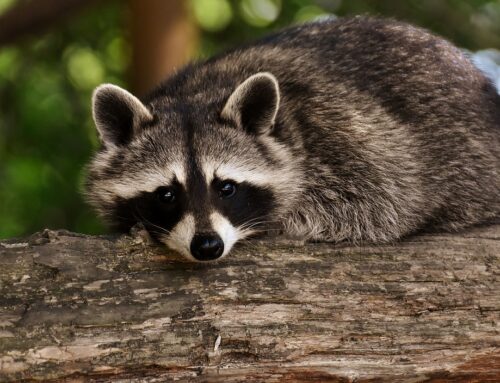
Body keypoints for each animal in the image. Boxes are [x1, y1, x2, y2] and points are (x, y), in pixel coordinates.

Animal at [84, 15, 498, 260]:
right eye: (167, 194)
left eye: (227, 187)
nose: (207, 246)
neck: (198, 94)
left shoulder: (351, 138)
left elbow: (380, 203)